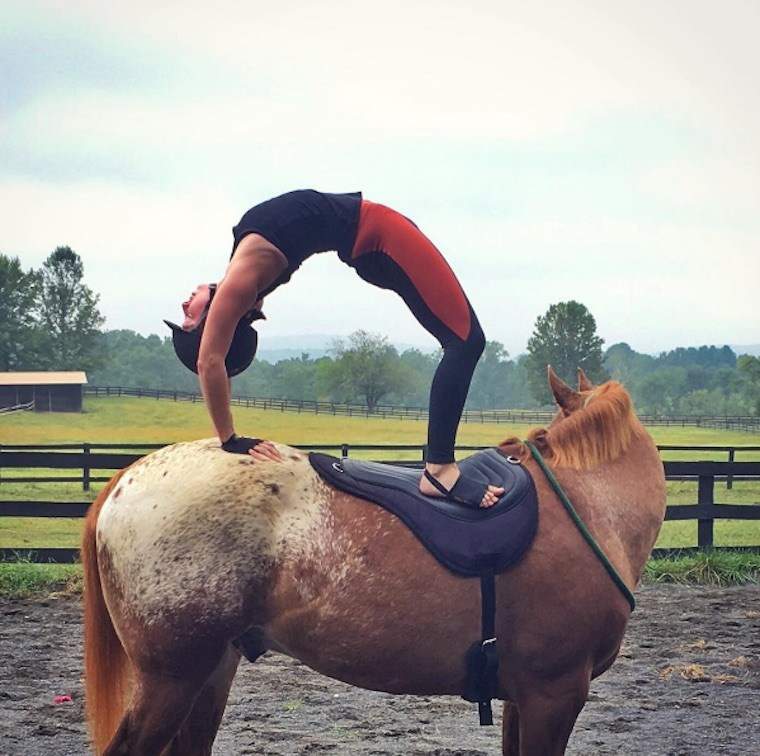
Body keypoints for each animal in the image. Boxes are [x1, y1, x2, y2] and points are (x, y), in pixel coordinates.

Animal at [81, 368, 664, 756]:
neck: (585, 503)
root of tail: (126, 478)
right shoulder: (554, 694)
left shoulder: (523, 698)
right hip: (171, 678)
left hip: (210, 671)